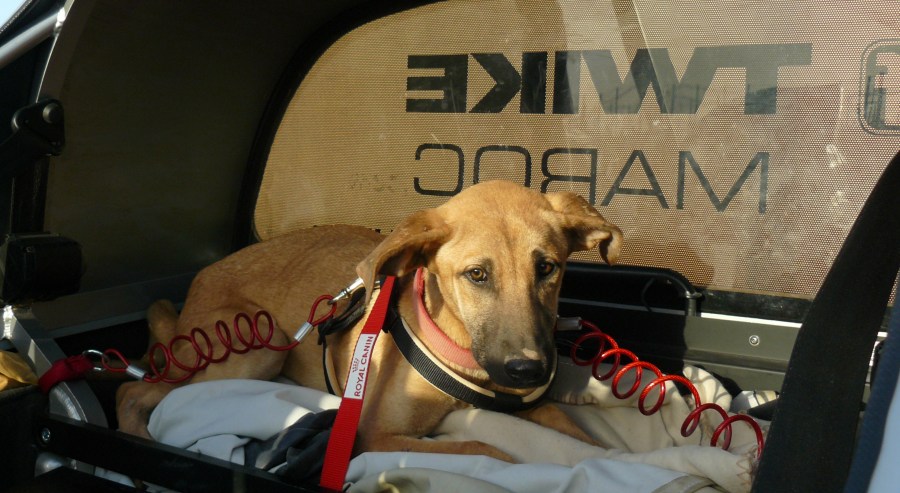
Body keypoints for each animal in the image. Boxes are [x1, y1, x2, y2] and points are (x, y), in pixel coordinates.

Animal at [115, 180, 623, 462]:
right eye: (477, 275)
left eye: (548, 268)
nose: (529, 371)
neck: (458, 351)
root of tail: (198, 282)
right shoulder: (374, 435)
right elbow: (484, 449)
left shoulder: (531, 408)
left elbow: (585, 441)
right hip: (254, 348)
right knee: (133, 390)